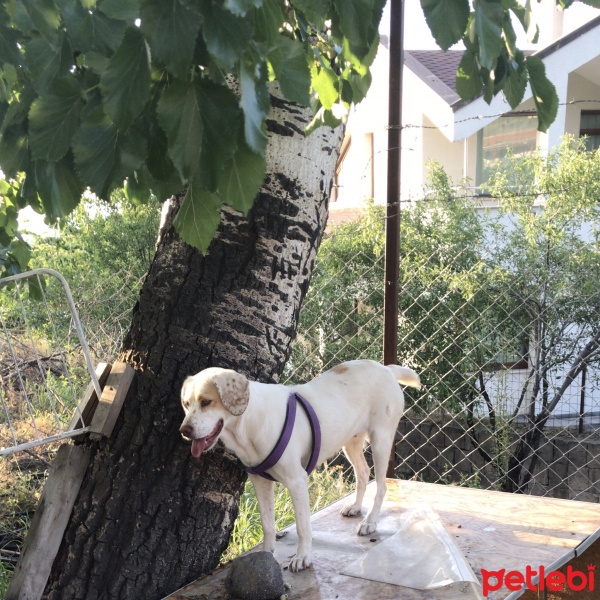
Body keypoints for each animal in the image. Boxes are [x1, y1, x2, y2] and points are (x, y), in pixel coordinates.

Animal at [180, 360, 420, 572]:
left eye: (206, 402)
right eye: (186, 404)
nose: (184, 431)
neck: (249, 422)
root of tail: (386, 368)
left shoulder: (296, 481)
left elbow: (302, 526)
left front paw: (303, 557)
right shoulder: (260, 482)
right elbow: (267, 524)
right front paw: (266, 553)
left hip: (381, 440)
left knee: (381, 485)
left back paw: (370, 521)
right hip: (350, 442)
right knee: (363, 473)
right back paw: (355, 506)